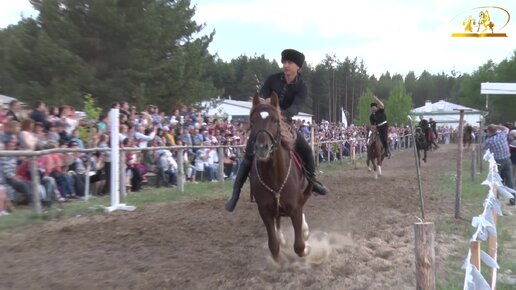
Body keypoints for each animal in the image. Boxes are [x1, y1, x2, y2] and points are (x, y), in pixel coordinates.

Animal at [248, 92, 312, 262]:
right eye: (252, 121)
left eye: (275, 120)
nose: (262, 148)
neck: (275, 176)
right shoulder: (264, 211)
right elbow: (273, 246)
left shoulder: (295, 208)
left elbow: (299, 245)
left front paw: (307, 248)